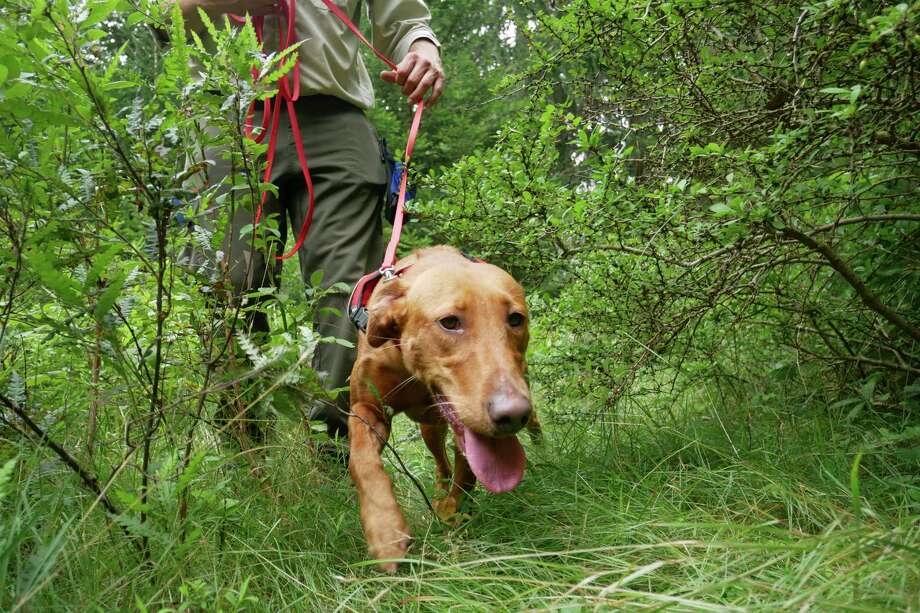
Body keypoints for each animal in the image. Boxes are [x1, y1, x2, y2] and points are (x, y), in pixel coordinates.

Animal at [348, 246, 536, 572]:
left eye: (515, 319)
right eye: (449, 322)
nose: (512, 414)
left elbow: (468, 472)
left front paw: (451, 510)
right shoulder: (366, 407)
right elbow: (362, 460)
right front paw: (385, 529)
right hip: (429, 429)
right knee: (440, 461)